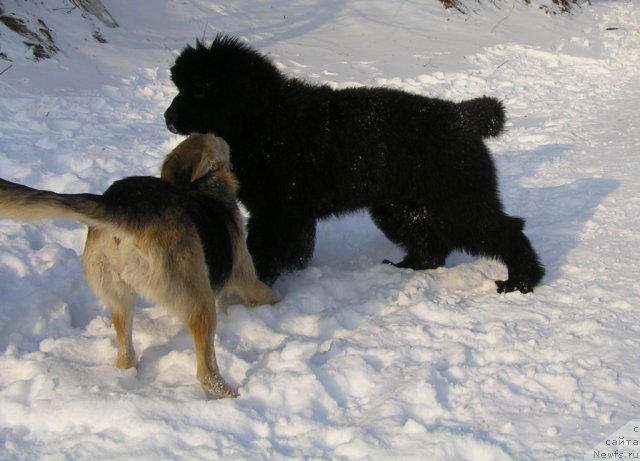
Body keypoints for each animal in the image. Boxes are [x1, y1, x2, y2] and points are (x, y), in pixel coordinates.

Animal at [0, 132, 278, 396]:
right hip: (201, 303)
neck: (199, 187)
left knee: (125, 354)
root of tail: (123, 207)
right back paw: (229, 393)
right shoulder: (247, 279)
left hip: (118, 297)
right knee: (206, 373)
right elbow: (268, 294)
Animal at [165, 36, 544, 294]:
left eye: (201, 88)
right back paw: (408, 267)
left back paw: (522, 281)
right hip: (400, 208)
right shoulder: (292, 215)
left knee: (508, 230)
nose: (168, 118)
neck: (265, 119)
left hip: (458, 203)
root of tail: (462, 116)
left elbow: (264, 253)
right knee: (432, 244)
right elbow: (295, 251)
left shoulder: (276, 213)